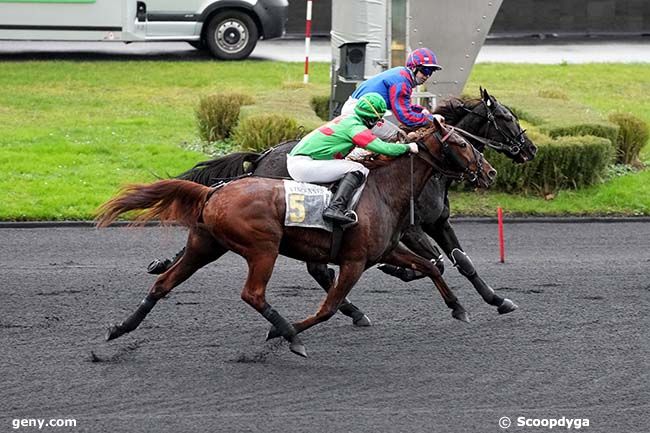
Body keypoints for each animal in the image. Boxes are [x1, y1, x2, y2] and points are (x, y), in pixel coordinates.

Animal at [96, 117, 494, 354]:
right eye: (462, 144)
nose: (489, 171)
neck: (381, 190)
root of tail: (214, 191)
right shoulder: (354, 260)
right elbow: (327, 307)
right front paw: (285, 332)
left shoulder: (385, 250)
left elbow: (432, 267)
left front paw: (459, 308)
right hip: (263, 249)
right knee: (253, 294)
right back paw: (289, 333)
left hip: (206, 246)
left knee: (163, 284)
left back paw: (119, 328)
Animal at [153, 88, 536, 324]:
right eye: (507, 118)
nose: (530, 149)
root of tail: (262, 155)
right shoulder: (411, 228)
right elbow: (437, 261)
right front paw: (399, 271)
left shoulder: (437, 222)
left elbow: (461, 261)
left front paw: (498, 300)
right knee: (320, 271)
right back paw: (353, 311)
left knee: (319, 270)